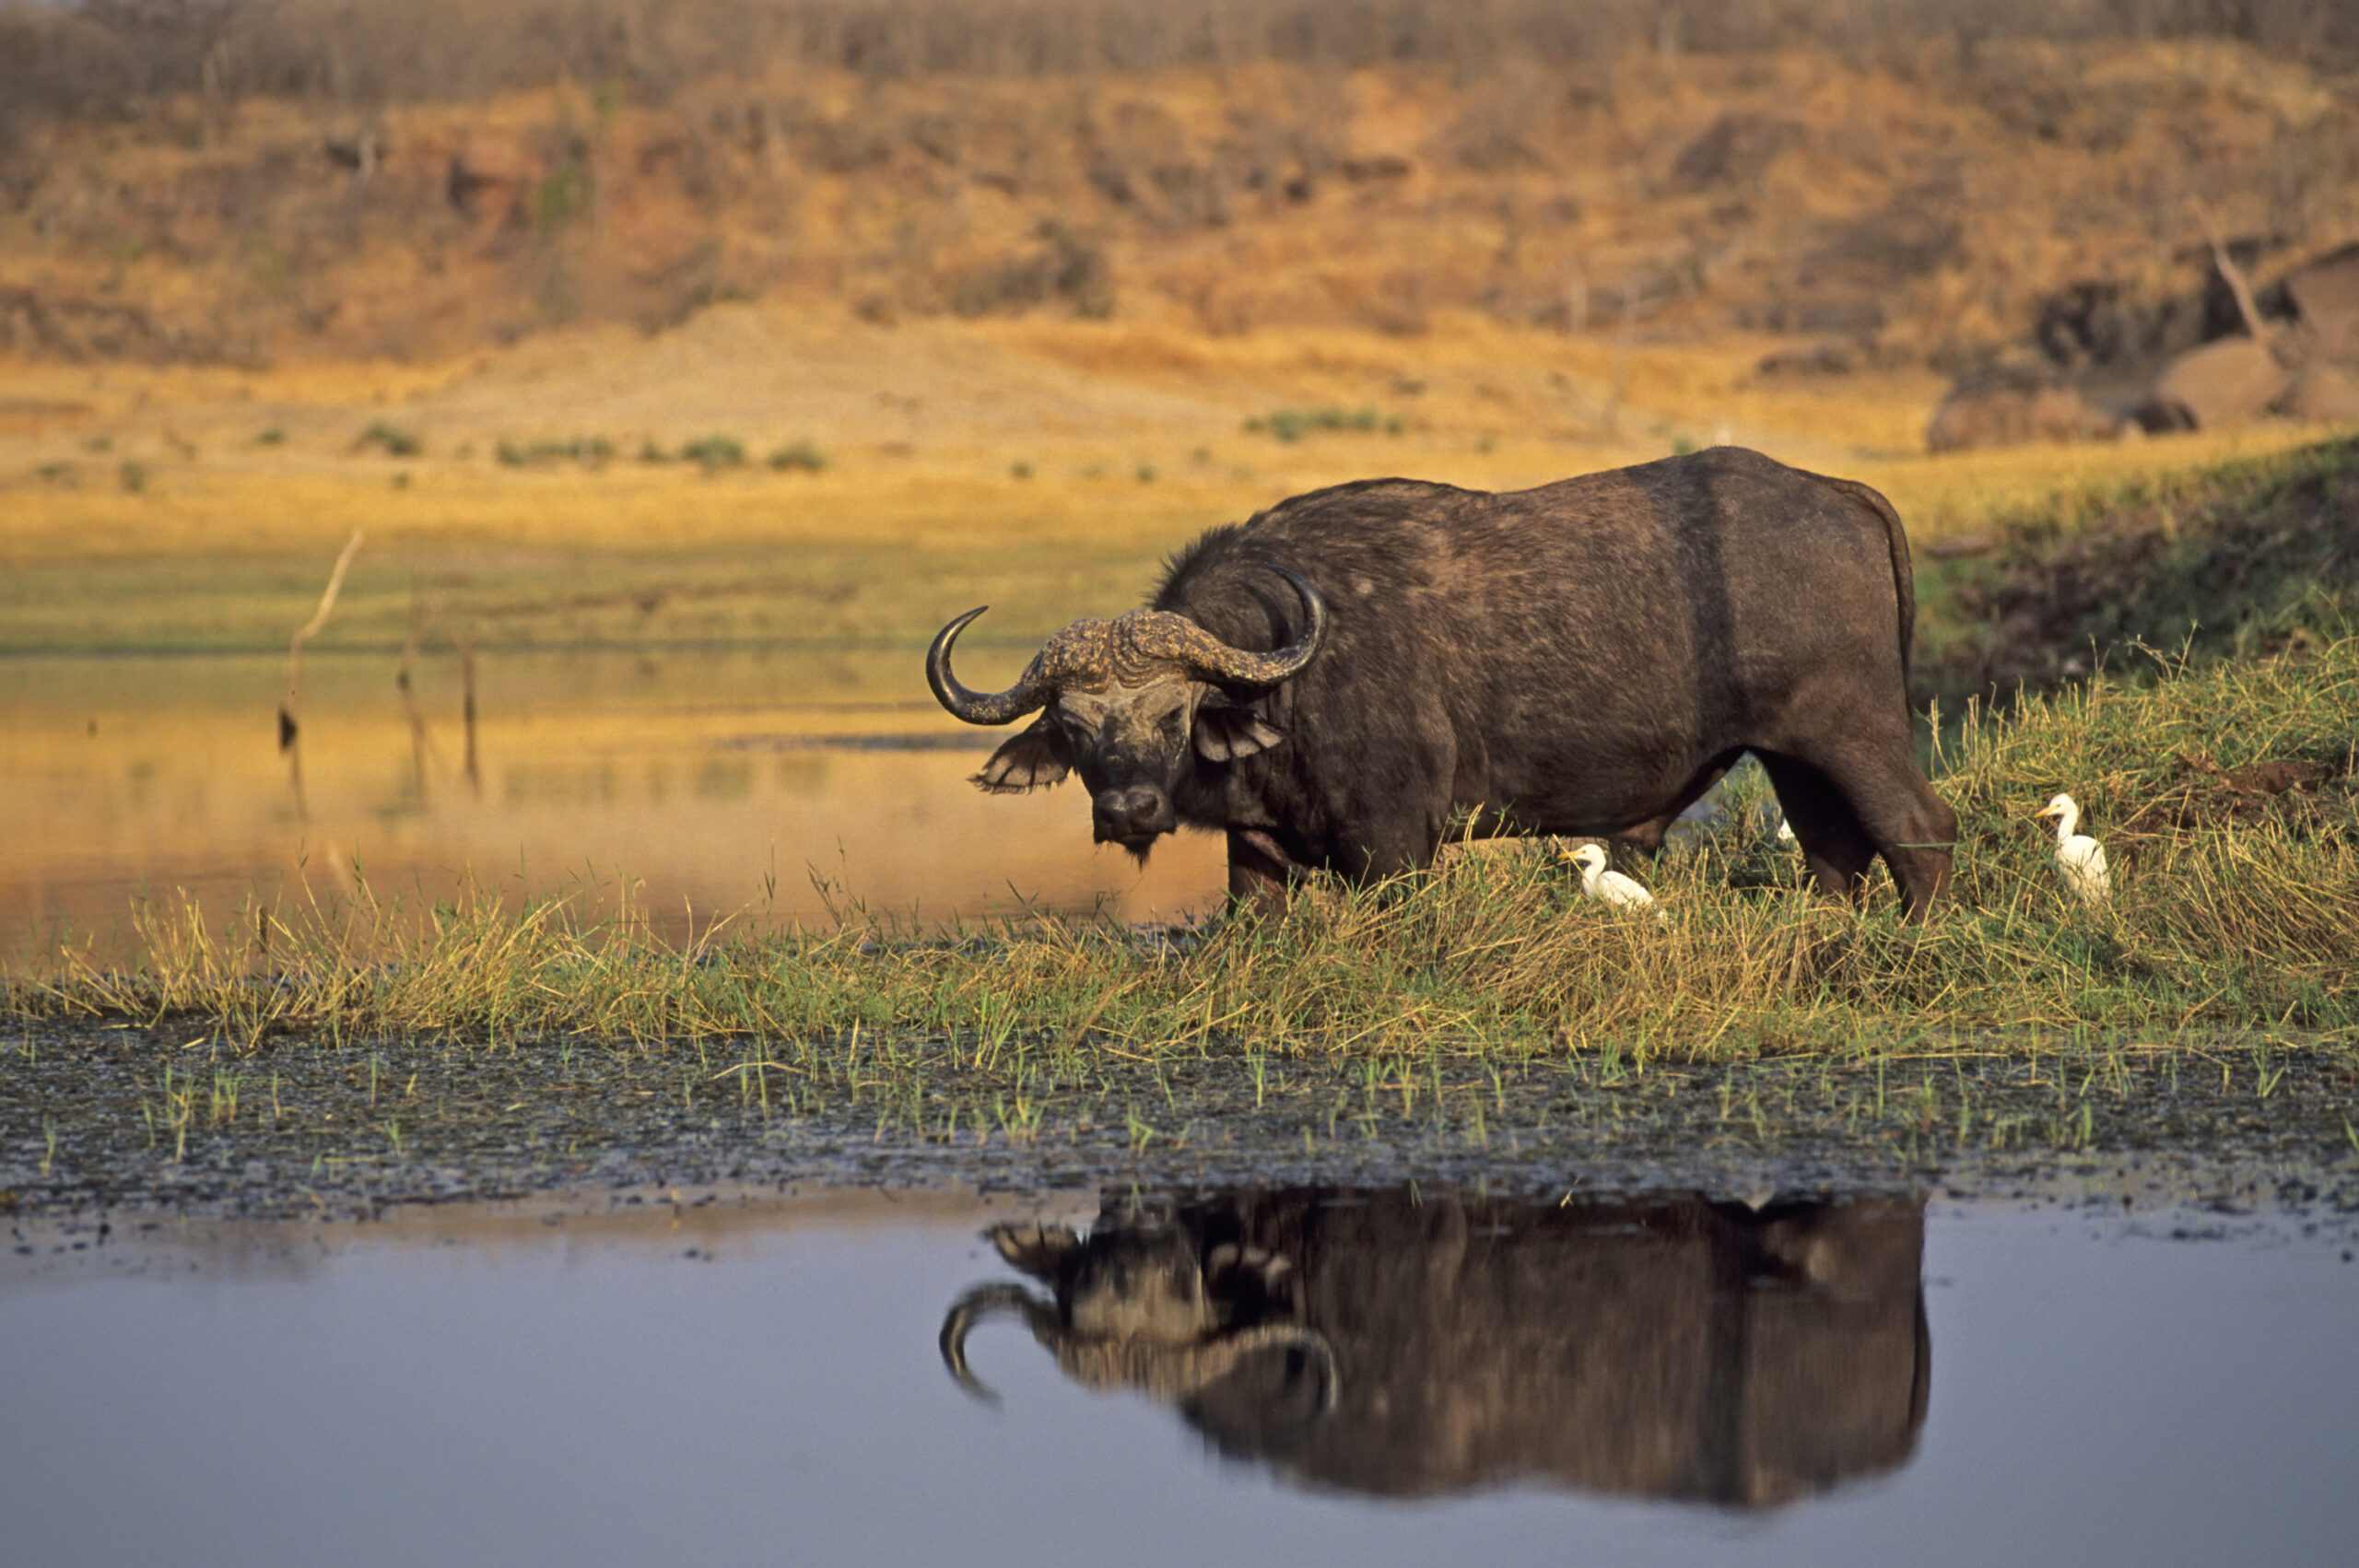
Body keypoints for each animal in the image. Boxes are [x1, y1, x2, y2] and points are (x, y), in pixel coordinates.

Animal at [929, 440, 1962, 909]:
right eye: (1073, 726)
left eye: (1173, 712)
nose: (1129, 810)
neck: (1293, 674)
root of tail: (1839, 493)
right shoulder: (1256, 852)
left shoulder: (1395, 840)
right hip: (1791, 753)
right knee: (1832, 847)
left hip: (1856, 731)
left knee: (1920, 830)